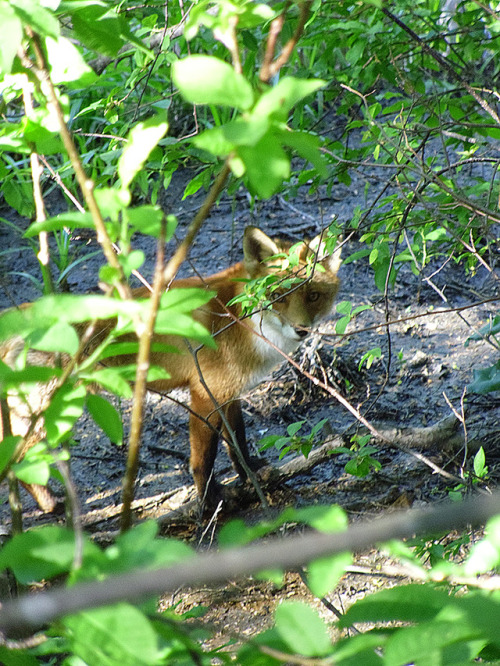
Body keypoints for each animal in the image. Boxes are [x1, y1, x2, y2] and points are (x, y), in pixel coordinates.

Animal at [0, 226, 342, 506]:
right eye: (278, 295)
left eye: (313, 295)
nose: (302, 330)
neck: (240, 319)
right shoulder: (204, 392)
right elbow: (204, 459)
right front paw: (210, 502)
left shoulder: (228, 390)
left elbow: (237, 442)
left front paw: (251, 473)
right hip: (45, 413)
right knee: (19, 459)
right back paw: (51, 505)